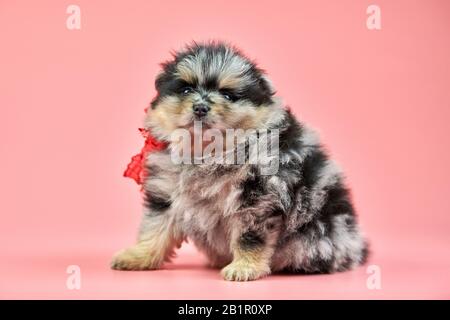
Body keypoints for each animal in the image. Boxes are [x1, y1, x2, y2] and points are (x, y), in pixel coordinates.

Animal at [110, 41, 368, 282]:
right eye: (185, 89)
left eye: (228, 95)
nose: (200, 107)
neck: (207, 153)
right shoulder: (168, 196)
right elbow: (156, 228)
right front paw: (137, 256)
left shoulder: (257, 199)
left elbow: (250, 237)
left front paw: (244, 268)